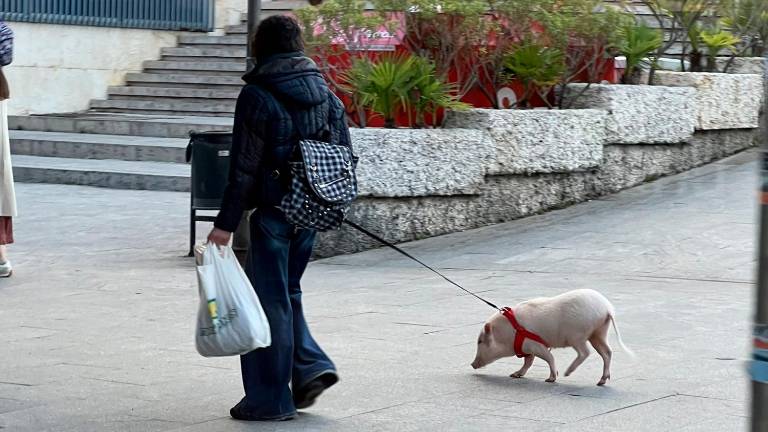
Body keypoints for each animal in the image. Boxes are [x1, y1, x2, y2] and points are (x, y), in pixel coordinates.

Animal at [472, 290, 632, 384]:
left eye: (480, 341)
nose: (472, 364)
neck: (510, 332)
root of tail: (607, 308)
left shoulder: (535, 344)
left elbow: (548, 357)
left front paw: (551, 379)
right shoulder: (527, 347)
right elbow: (528, 362)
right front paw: (514, 375)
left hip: (578, 335)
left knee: (585, 352)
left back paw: (567, 373)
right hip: (599, 332)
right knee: (607, 352)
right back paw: (601, 381)